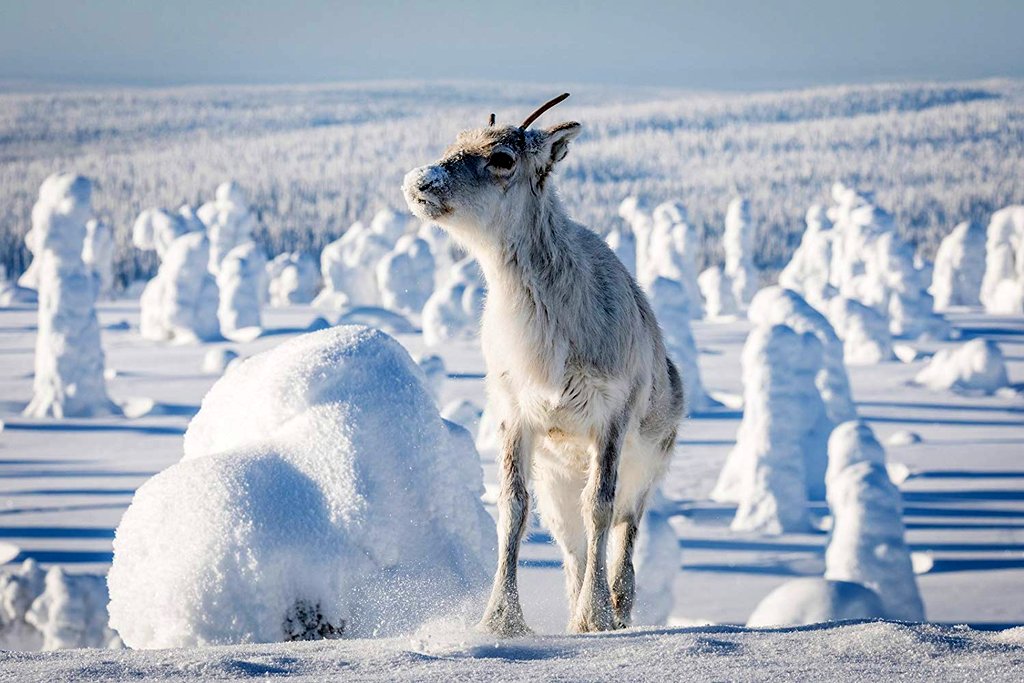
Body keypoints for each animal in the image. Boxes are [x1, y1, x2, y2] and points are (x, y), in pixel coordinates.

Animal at [402, 94, 685, 636]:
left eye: (502, 158)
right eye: (454, 143)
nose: (420, 181)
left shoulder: (611, 417)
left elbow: (601, 507)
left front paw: (596, 615)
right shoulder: (517, 415)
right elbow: (513, 508)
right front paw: (501, 619)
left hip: (645, 471)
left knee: (624, 532)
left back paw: (618, 609)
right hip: (558, 488)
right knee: (572, 549)